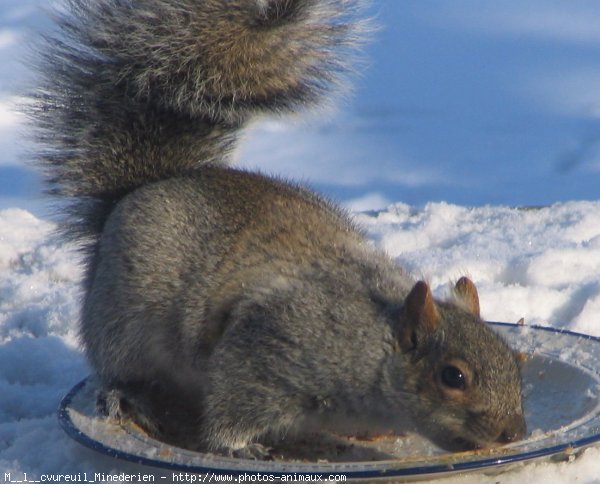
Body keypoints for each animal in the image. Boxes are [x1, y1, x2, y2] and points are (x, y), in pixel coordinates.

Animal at [30, 0, 524, 460]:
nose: (513, 433)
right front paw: (240, 447)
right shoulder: (268, 353)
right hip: (122, 326)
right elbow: (232, 408)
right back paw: (126, 398)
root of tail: (143, 189)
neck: (375, 343)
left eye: (514, 360)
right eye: (453, 376)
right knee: (119, 370)